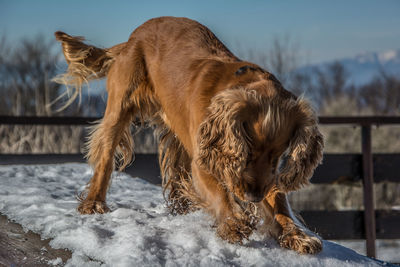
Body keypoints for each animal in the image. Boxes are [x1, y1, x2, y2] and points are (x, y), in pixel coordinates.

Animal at [54, 16, 324, 255]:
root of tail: (131, 38)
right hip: (119, 109)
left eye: (279, 156)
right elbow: (220, 193)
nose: (253, 196)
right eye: (247, 150)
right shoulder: (205, 161)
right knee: (105, 157)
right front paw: (233, 222)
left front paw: (296, 235)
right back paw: (93, 203)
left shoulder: (262, 175)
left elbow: (279, 201)